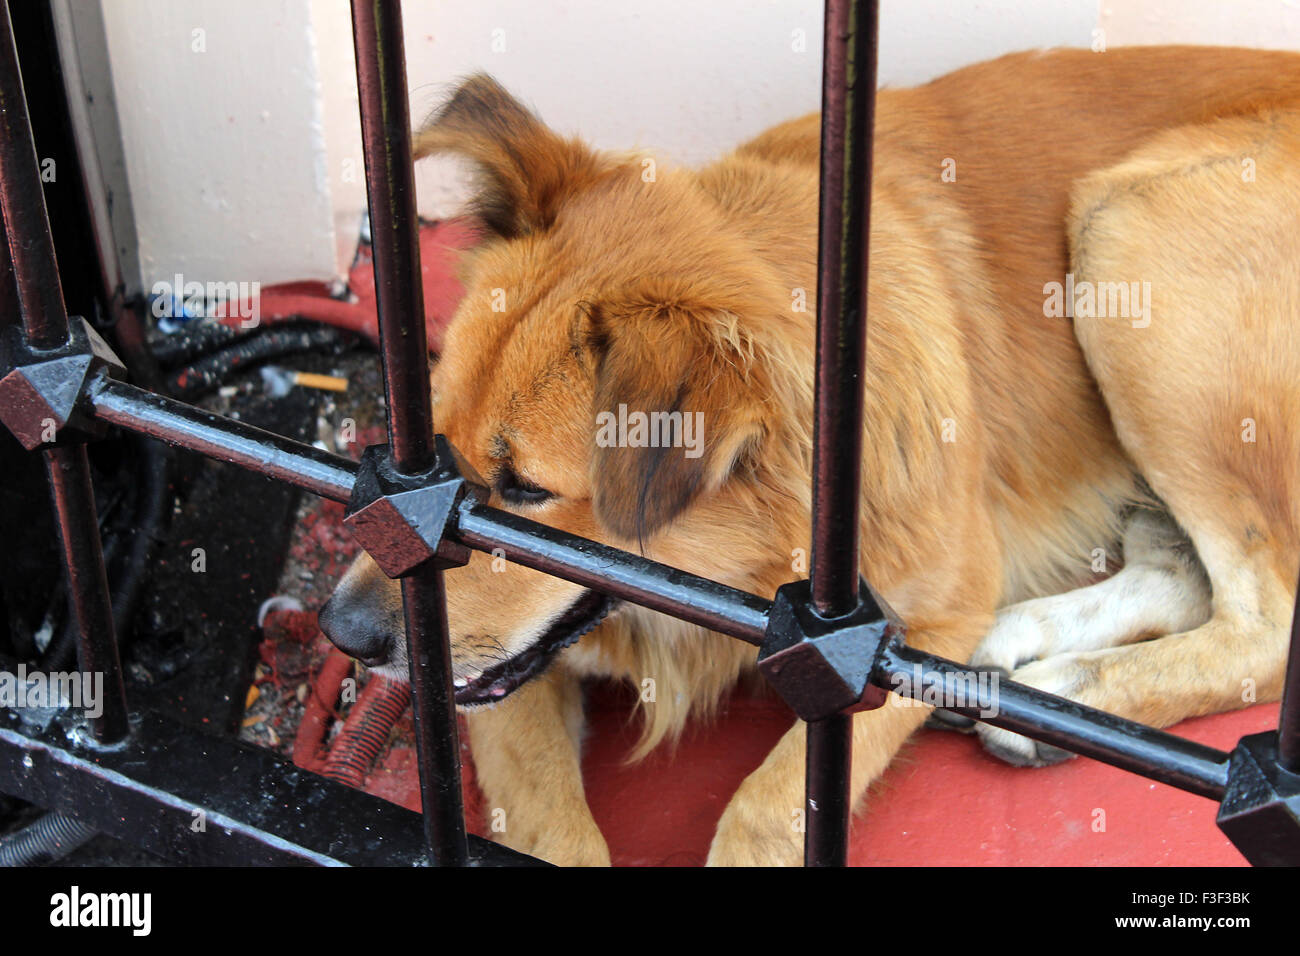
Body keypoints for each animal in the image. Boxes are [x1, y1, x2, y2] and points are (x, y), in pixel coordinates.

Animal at [319, 46, 1300, 868]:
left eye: (524, 489)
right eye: (434, 445)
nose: (341, 634)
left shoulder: (905, 627)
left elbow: (768, 804)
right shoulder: (496, 678)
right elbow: (549, 821)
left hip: (1126, 232)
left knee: (1265, 623)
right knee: (1182, 573)